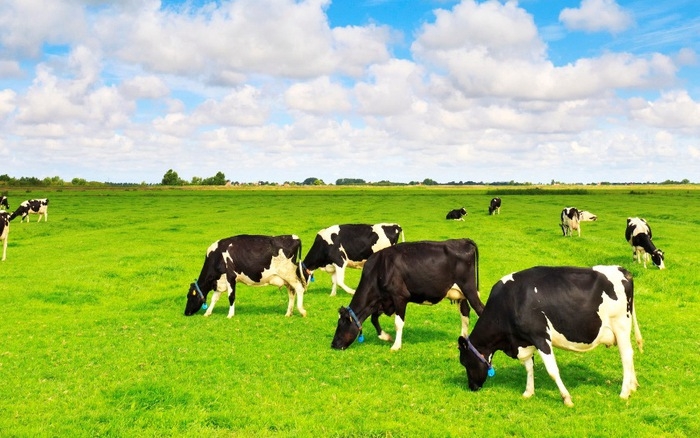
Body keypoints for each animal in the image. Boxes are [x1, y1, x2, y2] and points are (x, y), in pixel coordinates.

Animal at [331, 239, 484, 351]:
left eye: (341, 324)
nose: (333, 345)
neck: (379, 269)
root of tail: (462, 240)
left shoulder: (400, 296)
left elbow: (398, 323)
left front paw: (396, 345)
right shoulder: (384, 301)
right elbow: (374, 319)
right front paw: (386, 337)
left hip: (469, 288)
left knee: (480, 309)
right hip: (460, 295)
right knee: (465, 313)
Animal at [458, 265, 643, 407]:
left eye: (465, 362)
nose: (472, 387)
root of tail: (622, 270)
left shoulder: (540, 336)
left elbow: (552, 370)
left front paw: (566, 398)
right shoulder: (524, 341)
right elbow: (529, 367)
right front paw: (528, 392)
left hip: (620, 325)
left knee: (626, 355)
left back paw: (624, 392)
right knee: (630, 355)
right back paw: (633, 386)